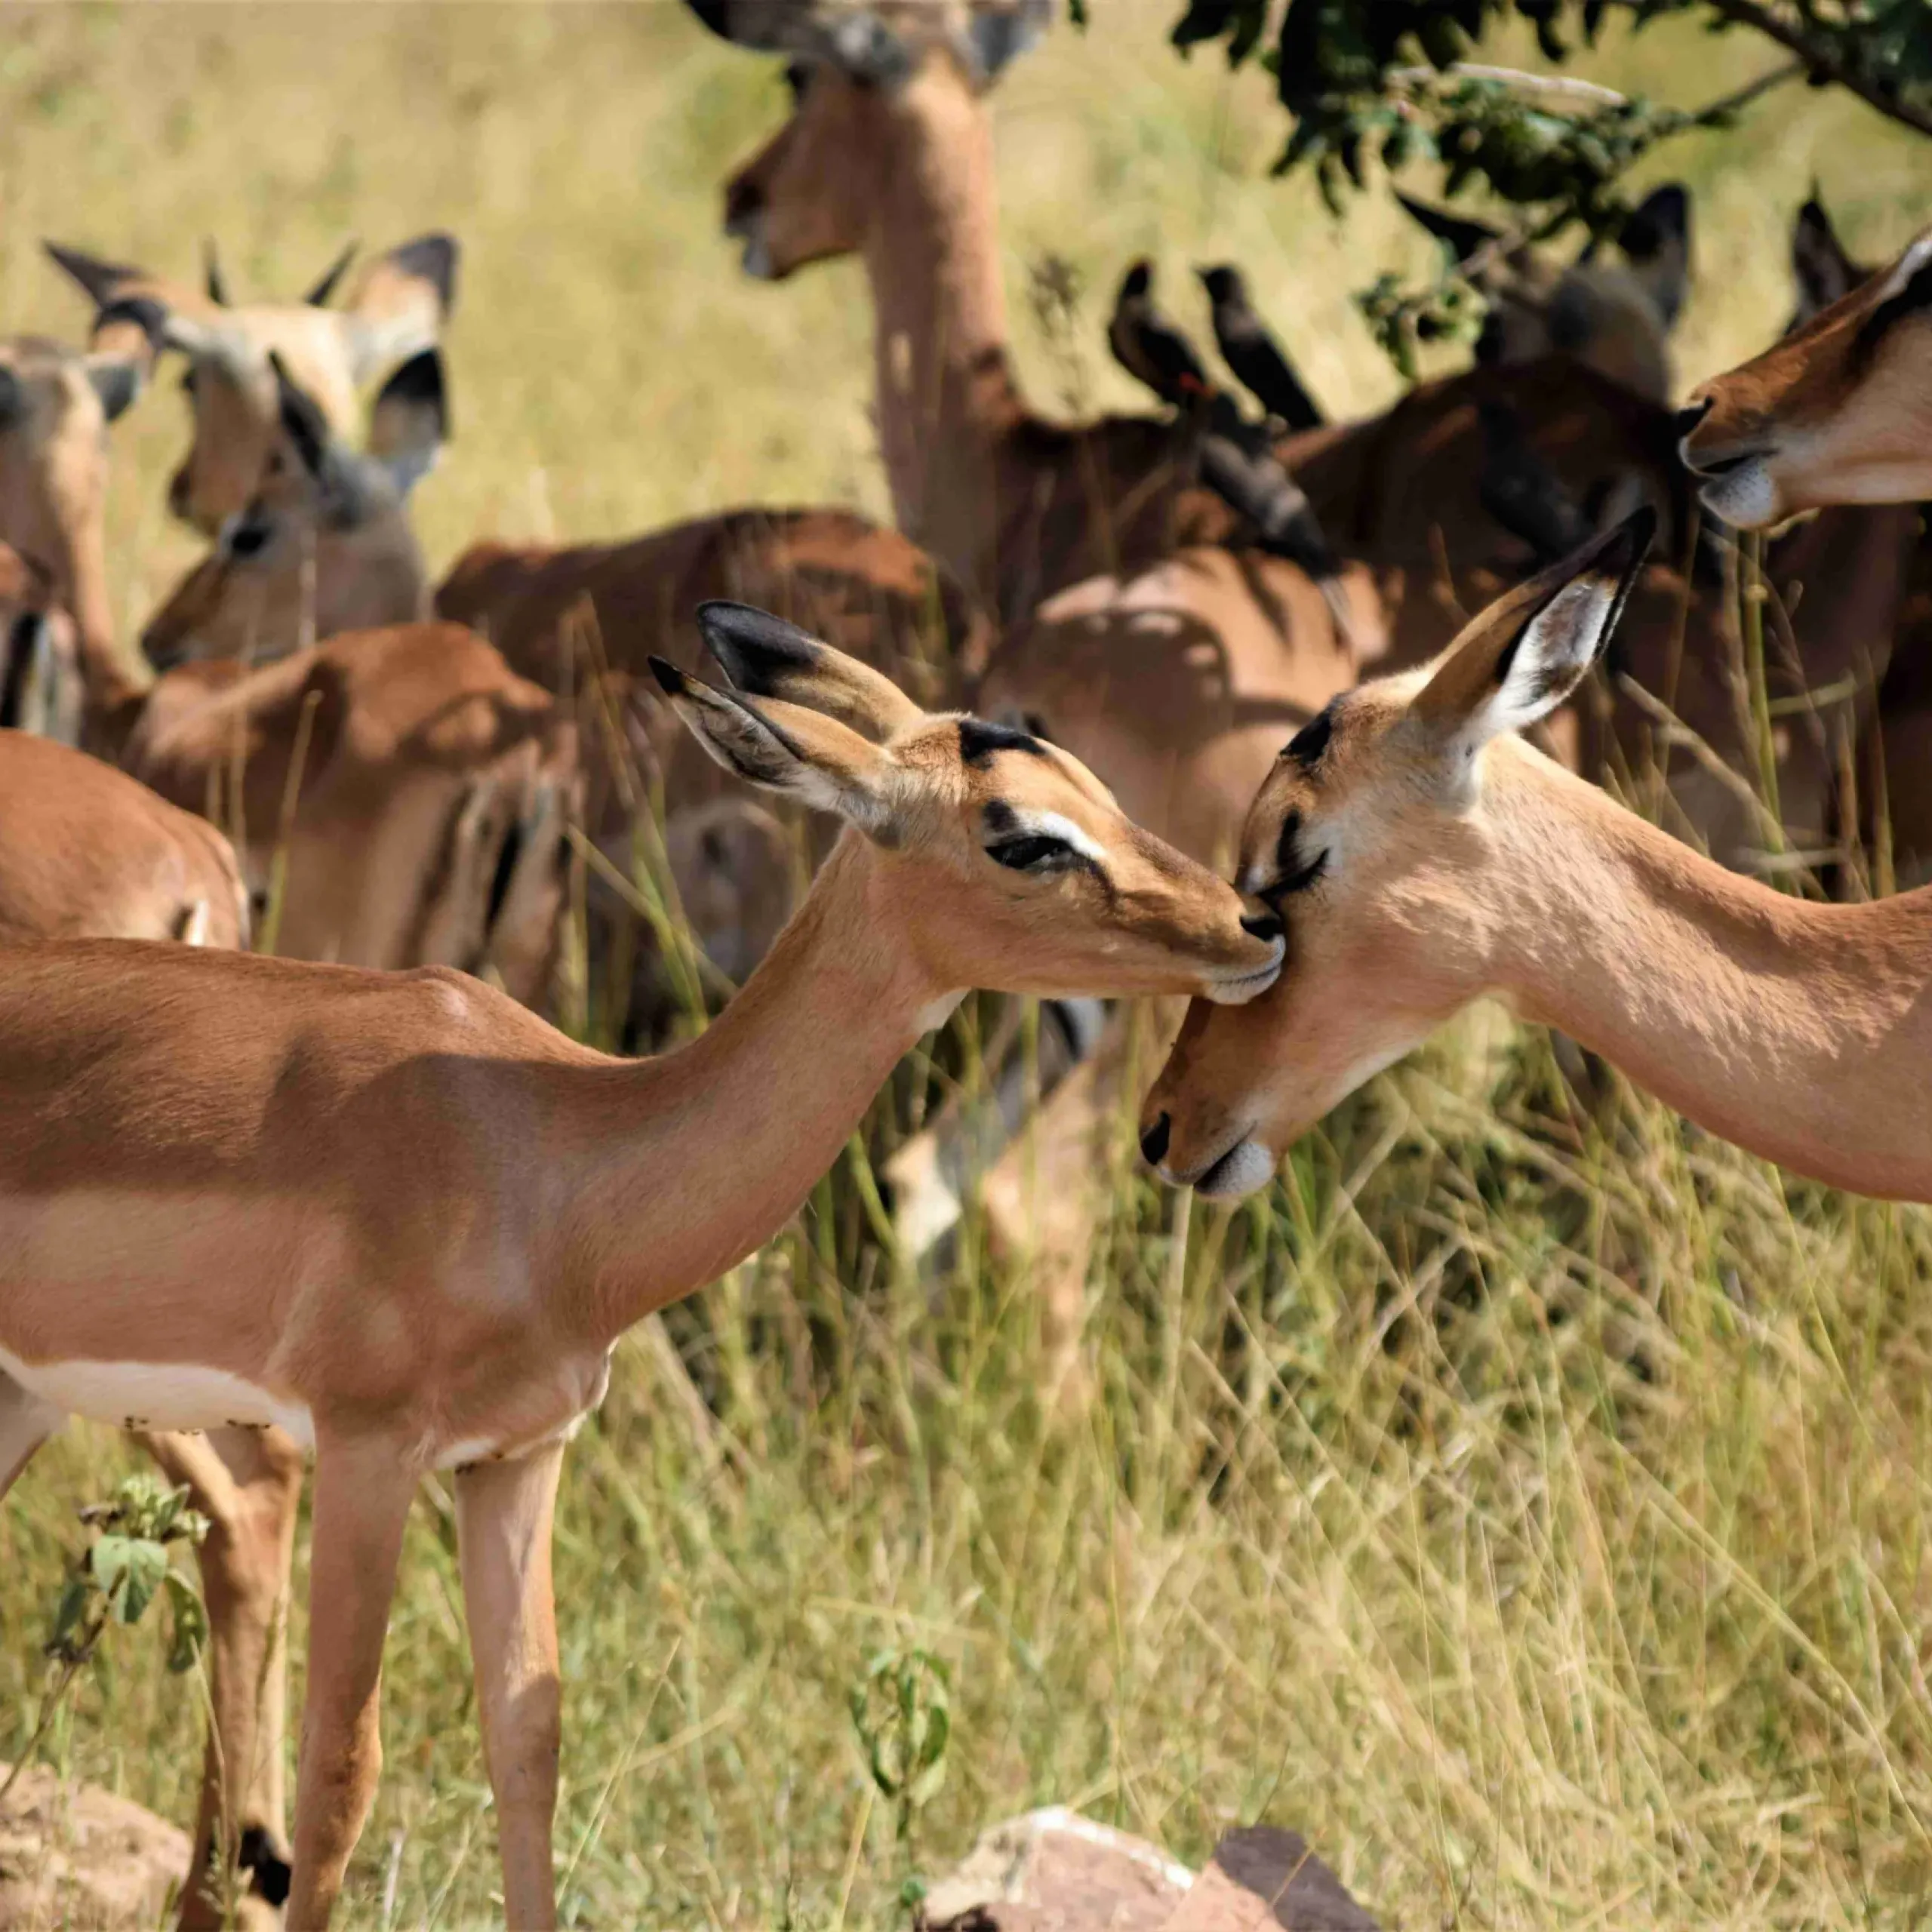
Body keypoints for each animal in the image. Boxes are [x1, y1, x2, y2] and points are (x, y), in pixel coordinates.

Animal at [0, 603, 1284, 1930]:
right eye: (1021, 835)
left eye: (1093, 779)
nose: (1257, 926)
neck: (550, 1157)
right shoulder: (365, 1448)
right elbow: (341, 1770)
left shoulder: (518, 1458)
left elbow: (528, 1744)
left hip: (26, 1401)